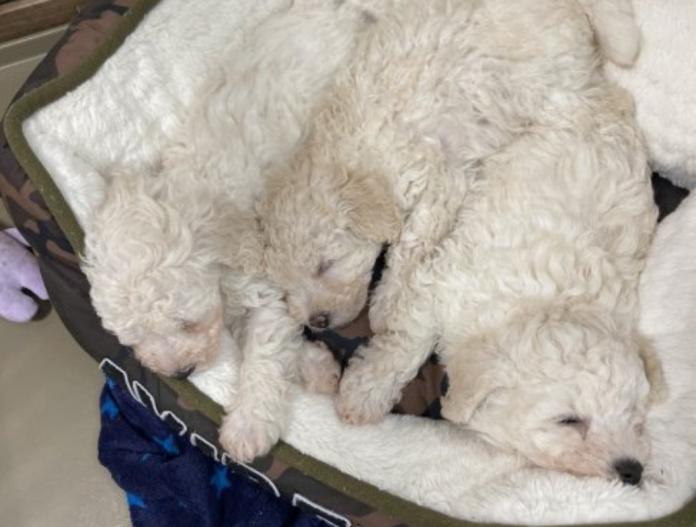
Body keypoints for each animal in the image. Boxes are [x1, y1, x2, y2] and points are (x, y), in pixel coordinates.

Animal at [83, 0, 370, 462]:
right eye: (134, 336)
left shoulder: (263, 284)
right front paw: (316, 367)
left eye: (186, 324)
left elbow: (265, 351)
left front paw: (249, 427)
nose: (181, 371)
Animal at [260, 0, 659, 481]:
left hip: (547, 82)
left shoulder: (437, 181)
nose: (316, 321)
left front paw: (384, 306)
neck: (351, 152)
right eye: (285, 288)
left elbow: (411, 249)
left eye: (326, 265)